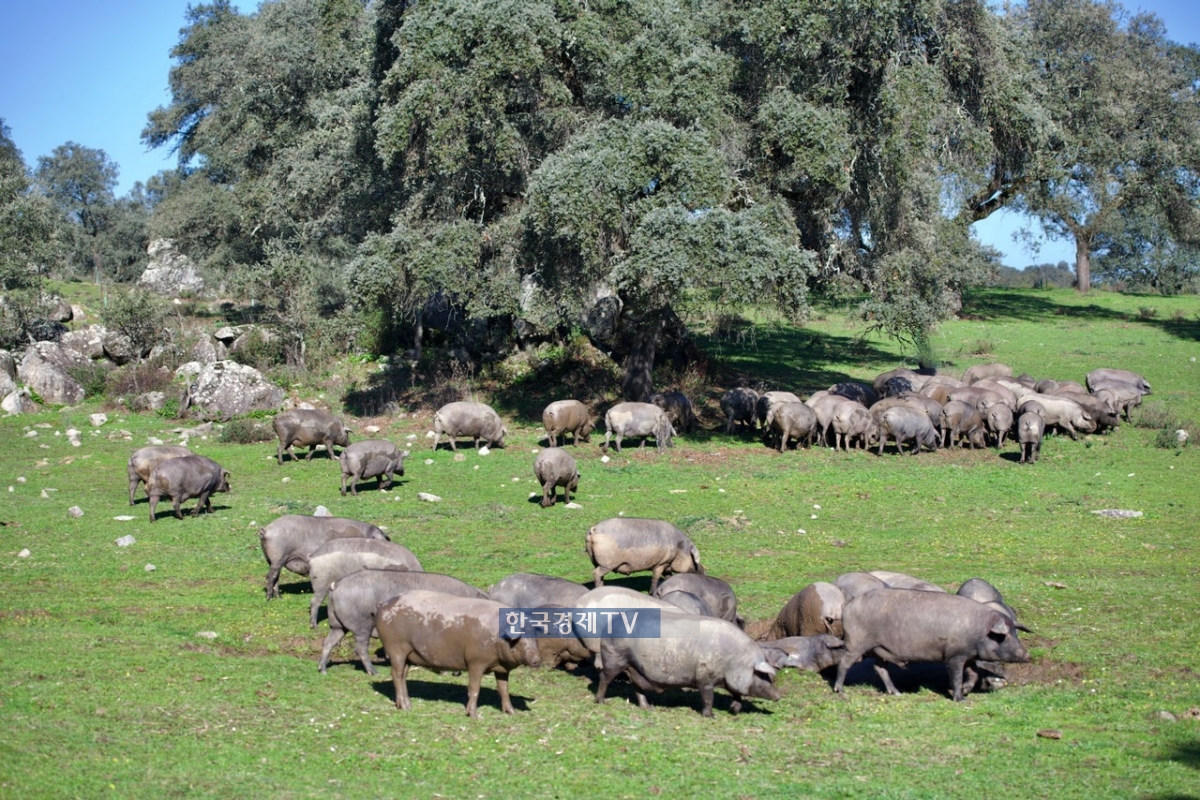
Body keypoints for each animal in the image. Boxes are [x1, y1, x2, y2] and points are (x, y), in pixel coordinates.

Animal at [258, 515, 388, 597]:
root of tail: (266, 529)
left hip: (272, 560)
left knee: (276, 578)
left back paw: (278, 597)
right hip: (278, 558)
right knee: (271, 577)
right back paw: (269, 598)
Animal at [321, 568, 489, 676]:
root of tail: (336, 585)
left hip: (337, 625)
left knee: (328, 643)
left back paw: (323, 670)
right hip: (363, 624)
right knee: (360, 648)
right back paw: (373, 673)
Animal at [376, 587, 542, 719]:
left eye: (534, 639)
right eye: (521, 639)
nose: (537, 660)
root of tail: (383, 604)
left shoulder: (501, 669)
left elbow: (504, 689)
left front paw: (512, 713)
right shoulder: (475, 662)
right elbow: (474, 689)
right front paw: (475, 717)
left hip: (409, 655)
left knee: (403, 675)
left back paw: (408, 705)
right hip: (396, 648)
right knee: (396, 674)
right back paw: (405, 707)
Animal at [595, 614, 782, 719]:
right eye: (762, 675)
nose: (779, 695)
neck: (734, 661)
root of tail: (610, 624)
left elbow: (737, 695)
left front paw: (733, 711)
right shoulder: (705, 677)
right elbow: (708, 698)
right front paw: (711, 716)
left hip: (634, 666)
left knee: (636, 686)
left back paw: (648, 707)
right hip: (615, 658)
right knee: (604, 677)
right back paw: (602, 701)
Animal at [835, 587, 1032, 700]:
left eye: (1015, 633)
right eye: (1003, 636)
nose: (1028, 655)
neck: (978, 631)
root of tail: (848, 606)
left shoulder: (968, 656)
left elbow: (974, 674)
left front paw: (964, 691)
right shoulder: (953, 656)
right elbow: (957, 676)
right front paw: (958, 697)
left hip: (879, 649)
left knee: (880, 668)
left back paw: (897, 693)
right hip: (856, 643)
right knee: (844, 662)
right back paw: (841, 691)